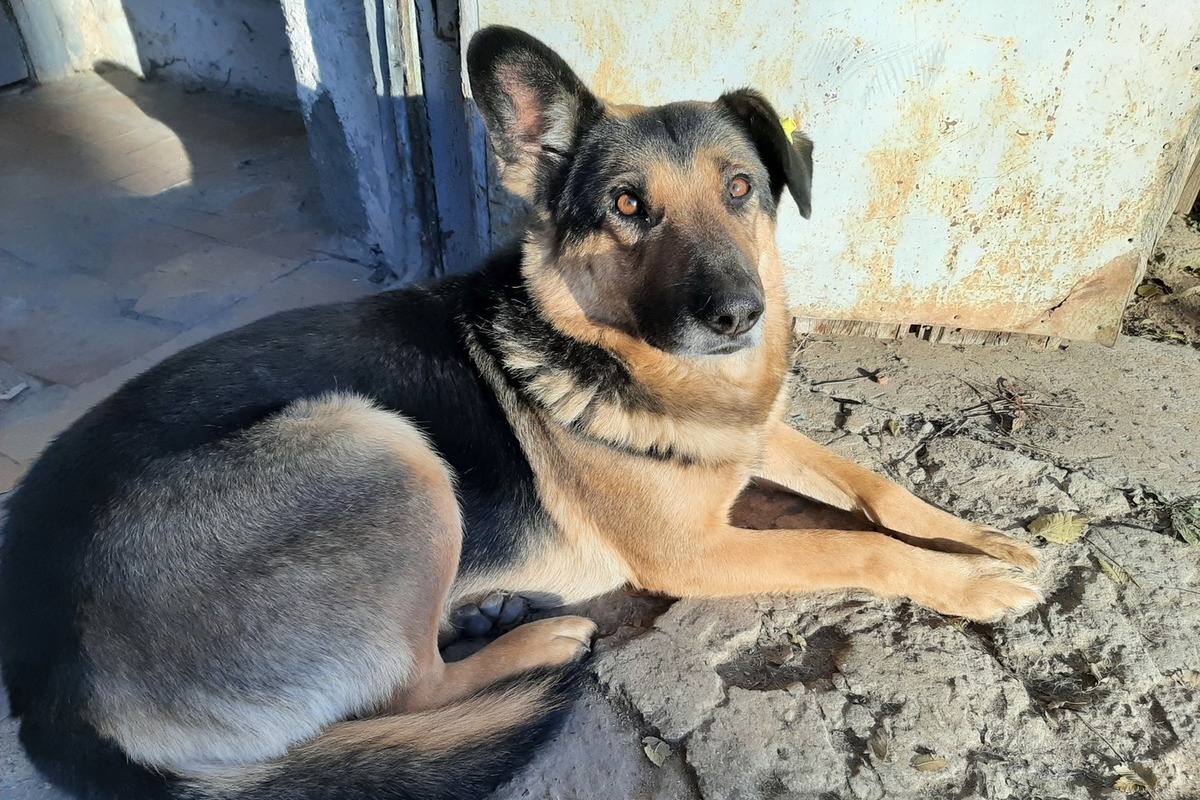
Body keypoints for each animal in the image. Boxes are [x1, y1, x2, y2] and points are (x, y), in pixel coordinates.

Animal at [0, 25, 1041, 800]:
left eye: (741, 189)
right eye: (628, 206)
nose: (738, 315)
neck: (617, 353)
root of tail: (49, 693)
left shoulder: (756, 440)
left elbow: (872, 486)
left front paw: (983, 537)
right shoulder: (695, 553)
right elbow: (849, 542)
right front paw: (973, 583)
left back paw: (489, 611)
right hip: (372, 443)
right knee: (406, 688)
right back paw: (539, 639)